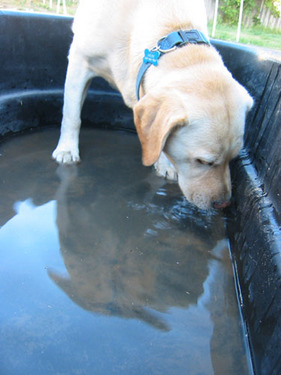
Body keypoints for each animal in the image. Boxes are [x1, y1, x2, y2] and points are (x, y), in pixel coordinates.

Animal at [52, 0, 252, 212]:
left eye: (233, 158)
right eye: (202, 161)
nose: (223, 204)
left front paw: (165, 164)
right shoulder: (79, 59)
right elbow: (71, 115)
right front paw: (66, 149)